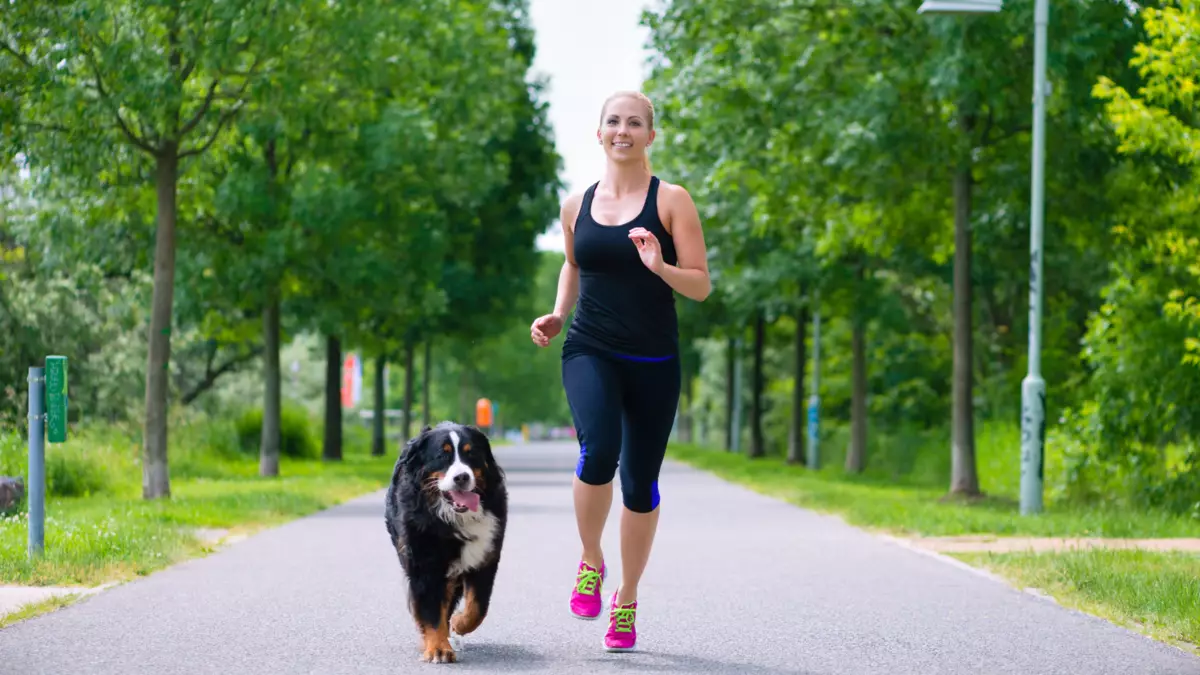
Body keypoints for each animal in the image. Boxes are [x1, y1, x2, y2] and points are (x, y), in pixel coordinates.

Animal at [384, 420, 506, 662]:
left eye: (471, 453)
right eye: (442, 454)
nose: (462, 477)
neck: (454, 517)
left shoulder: (486, 557)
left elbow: (478, 606)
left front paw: (459, 622)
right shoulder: (425, 562)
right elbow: (432, 609)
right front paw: (438, 648)